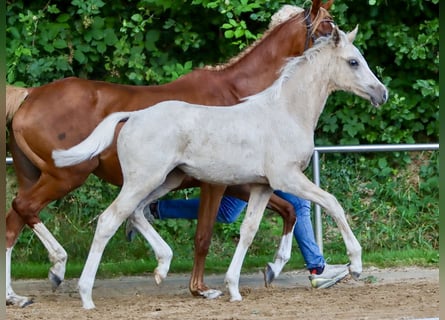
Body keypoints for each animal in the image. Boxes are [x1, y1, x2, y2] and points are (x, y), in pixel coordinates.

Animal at [5, 0, 332, 308]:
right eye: (327, 29)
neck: (240, 96)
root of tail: (29, 96)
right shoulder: (215, 184)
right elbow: (203, 236)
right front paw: (200, 289)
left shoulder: (240, 182)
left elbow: (289, 210)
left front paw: (275, 268)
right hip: (66, 176)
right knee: (24, 208)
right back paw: (57, 267)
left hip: (34, 176)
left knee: (13, 222)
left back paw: (14, 295)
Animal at [53, 26, 388, 308]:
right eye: (353, 62)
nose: (381, 93)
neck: (286, 112)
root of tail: (132, 116)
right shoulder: (287, 178)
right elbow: (332, 203)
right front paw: (356, 265)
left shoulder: (262, 186)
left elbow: (248, 230)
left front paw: (236, 287)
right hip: (143, 180)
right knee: (108, 220)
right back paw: (86, 296)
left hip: (165, 180)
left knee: (136, 213)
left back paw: (162, 266)